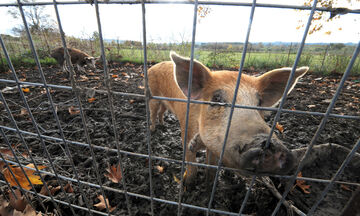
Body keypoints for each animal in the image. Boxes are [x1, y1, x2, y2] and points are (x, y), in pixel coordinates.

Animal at [148, 51, 308, 185]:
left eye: (259, 103)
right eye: (216, 99)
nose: (269, 145)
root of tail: (153, 66)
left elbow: (211, 167)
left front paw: (209, 184)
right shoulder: (185, 134)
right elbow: (191, 164)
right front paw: (188, 184)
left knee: (161, 111)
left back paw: (162, 124)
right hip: (152, 95)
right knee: (153, 112)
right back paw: (153, 129)